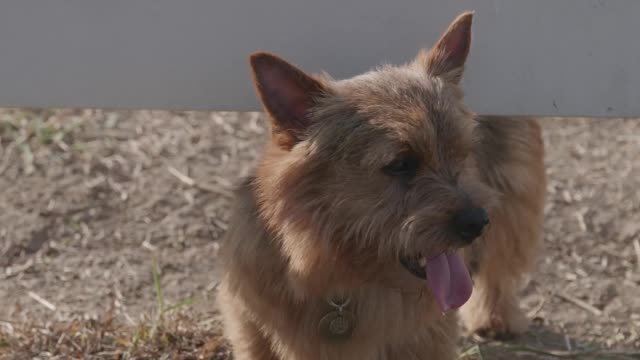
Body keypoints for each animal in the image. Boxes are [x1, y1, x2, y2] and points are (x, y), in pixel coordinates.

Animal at [216, 11, 544, 360]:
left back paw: (496, 315)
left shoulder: (427, 337)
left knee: (500, 261)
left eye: (462, 152)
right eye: (400, 164)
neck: (338, 278)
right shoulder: (251, 320)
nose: (477, 222)